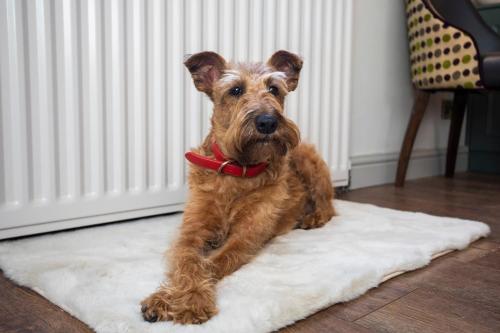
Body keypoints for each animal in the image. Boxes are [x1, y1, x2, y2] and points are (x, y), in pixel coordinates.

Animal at [141, 50, 336, 322]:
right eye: (235, 90)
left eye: (274, 89)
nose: (268, 122)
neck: (236, 171)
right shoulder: (191, 232)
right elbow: (188, 262)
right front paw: (168, 298)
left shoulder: (246, 236)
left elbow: (210, 264)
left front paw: (187, 300)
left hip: (309, 159)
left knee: (328, 205)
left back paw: (313, 217)